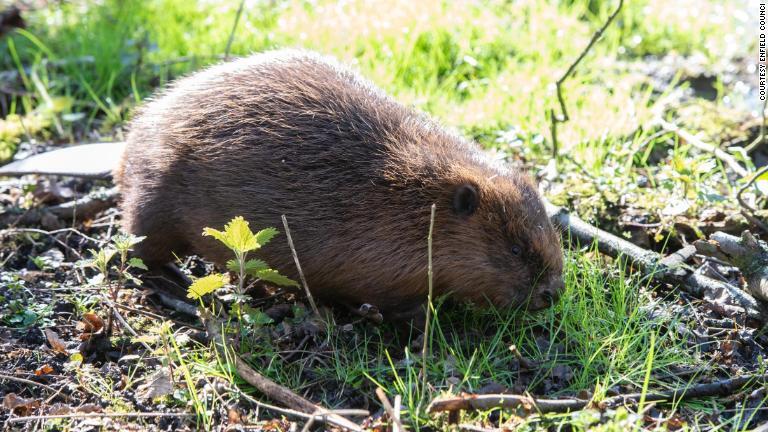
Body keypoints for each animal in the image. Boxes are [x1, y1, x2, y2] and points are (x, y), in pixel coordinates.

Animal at [118, 49, 564, 314]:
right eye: (516, 249)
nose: (553, 292)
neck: (415, 197)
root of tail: (128, 147)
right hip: (155, 196)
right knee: (138, 247)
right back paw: (175, 280)